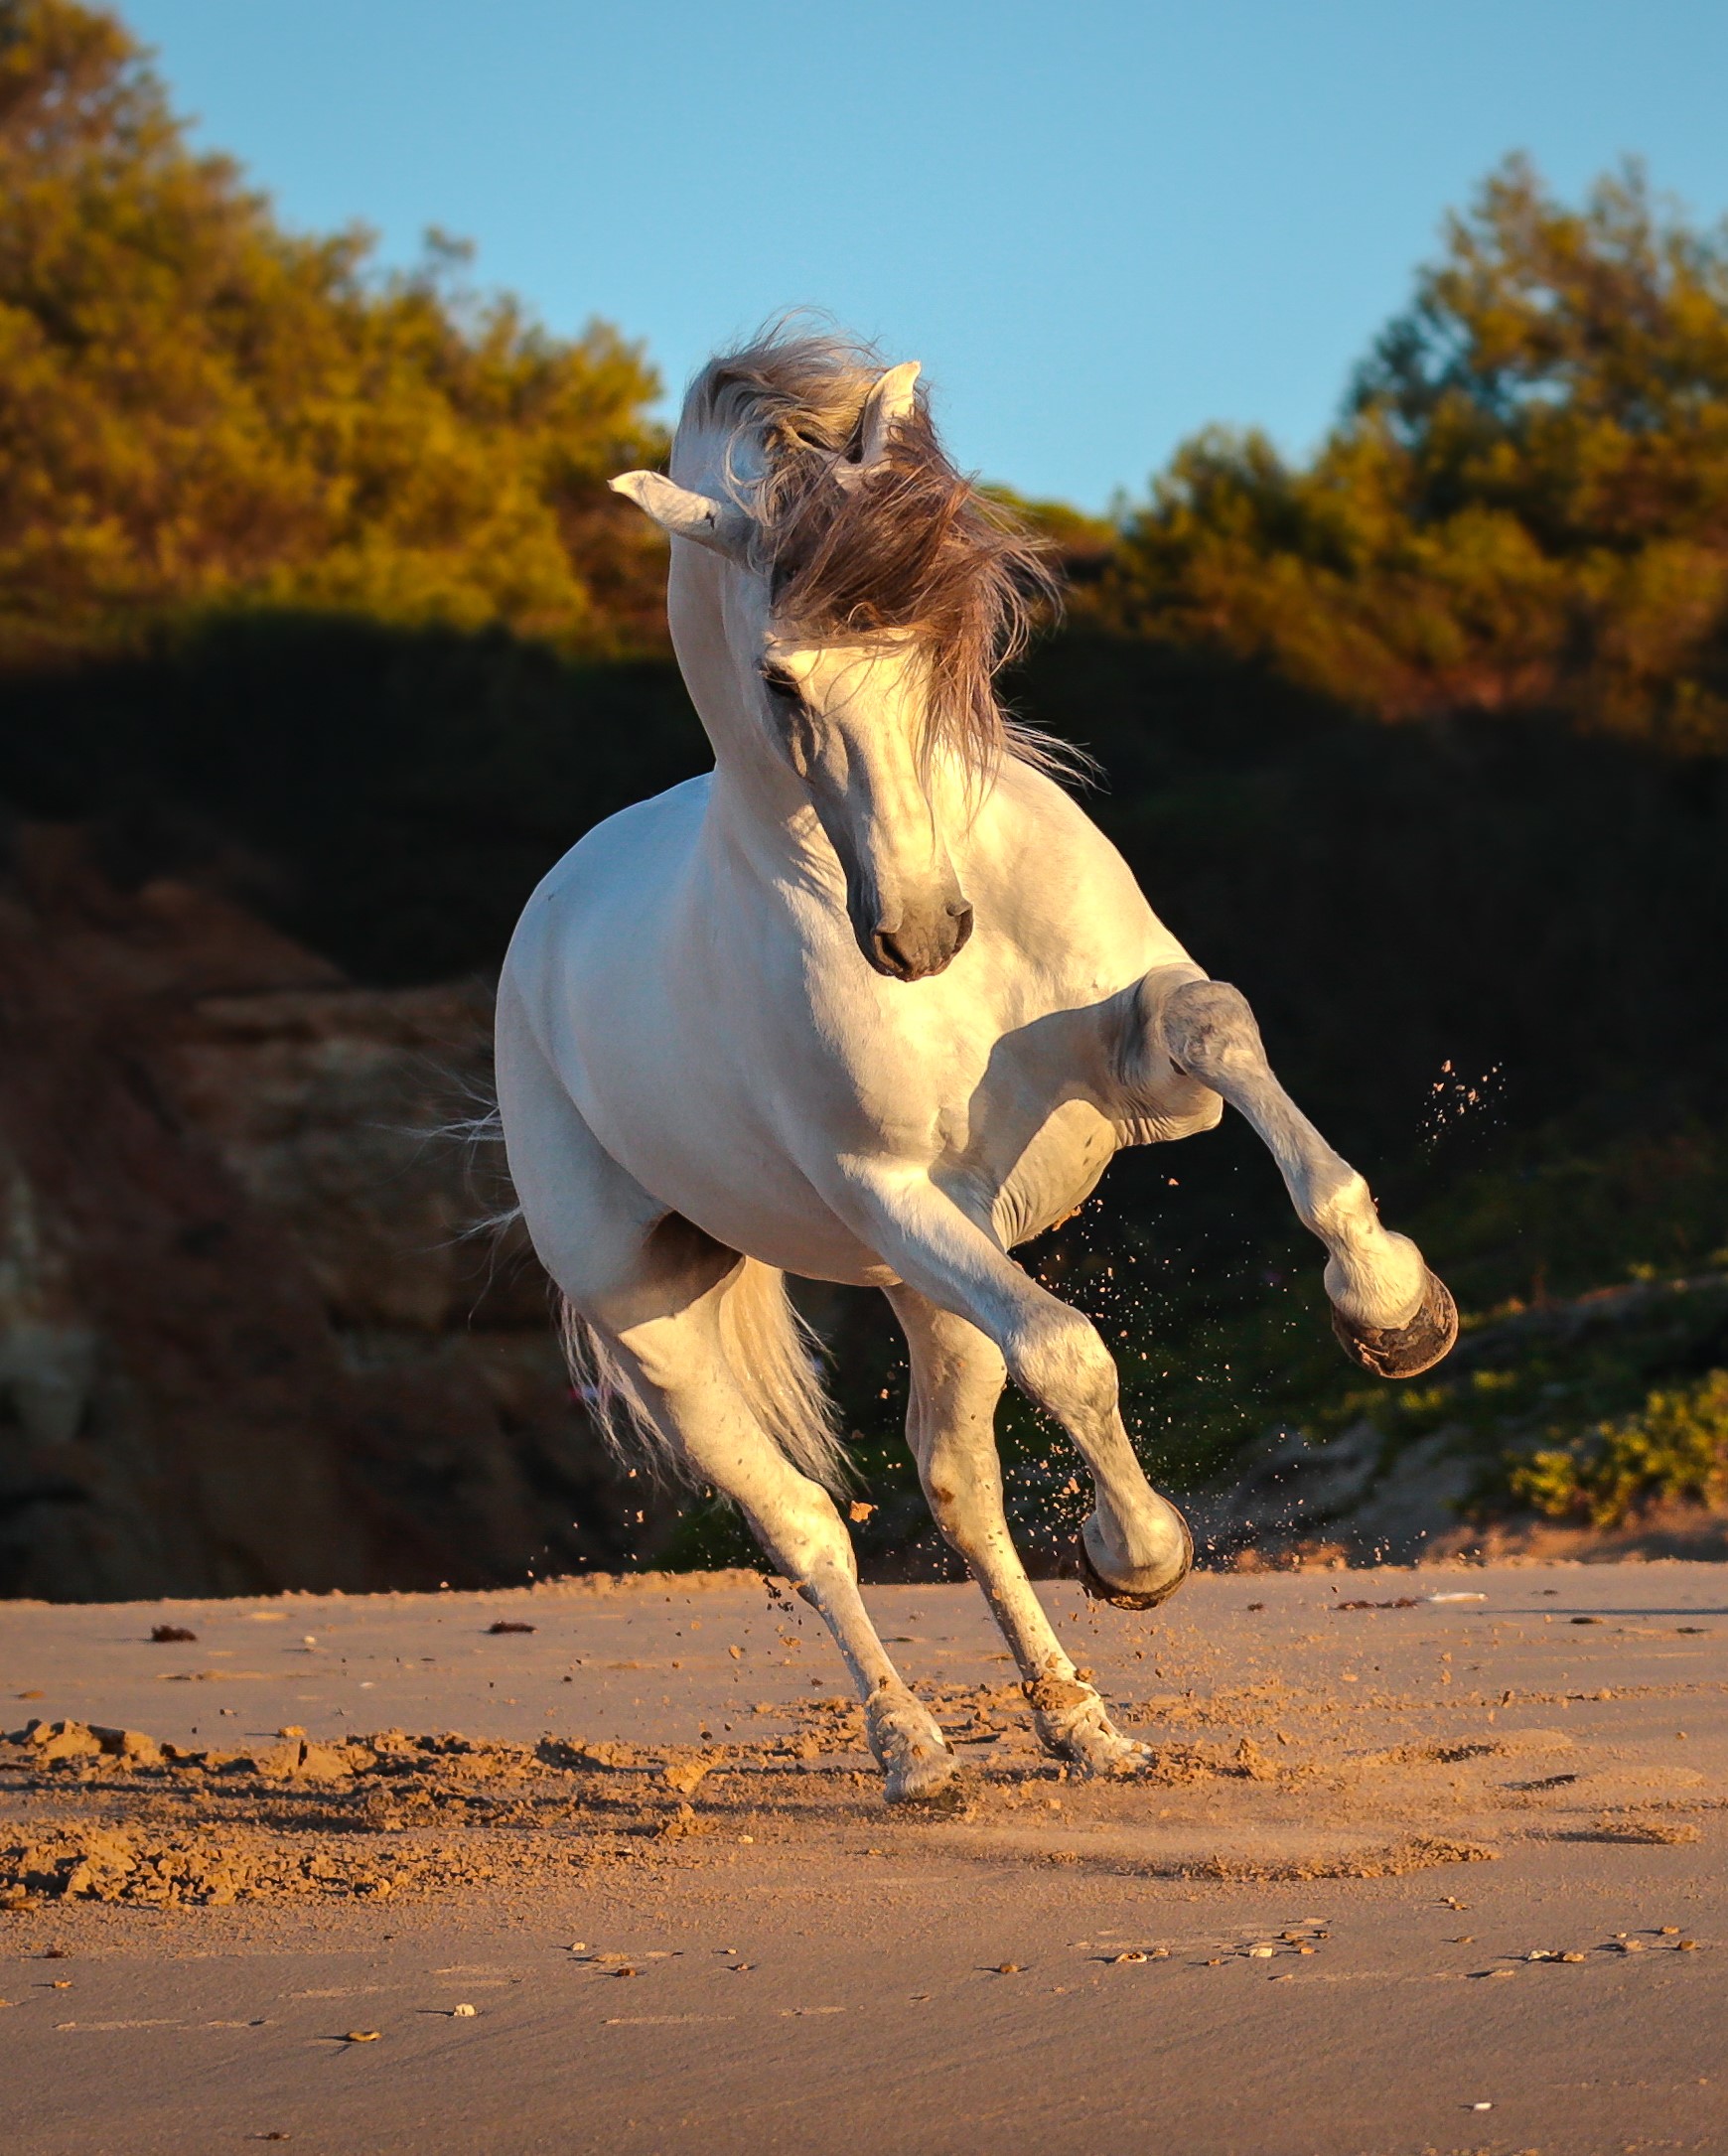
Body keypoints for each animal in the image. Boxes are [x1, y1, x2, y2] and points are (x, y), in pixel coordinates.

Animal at [492, 327, 1449, 1794]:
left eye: (937, 633)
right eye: (781, 678)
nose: (921, 931)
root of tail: (543, 922)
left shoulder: (1139, 1081)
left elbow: (1223, 1032)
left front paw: (1394, 1309)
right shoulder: (889, 1191)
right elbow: (1070, 1349)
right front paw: (1140, 1553)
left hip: (929, 1282)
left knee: (954, 1481)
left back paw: (1083, 1725)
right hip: (678, 1308)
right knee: (808, 1521)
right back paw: (915, 1750)